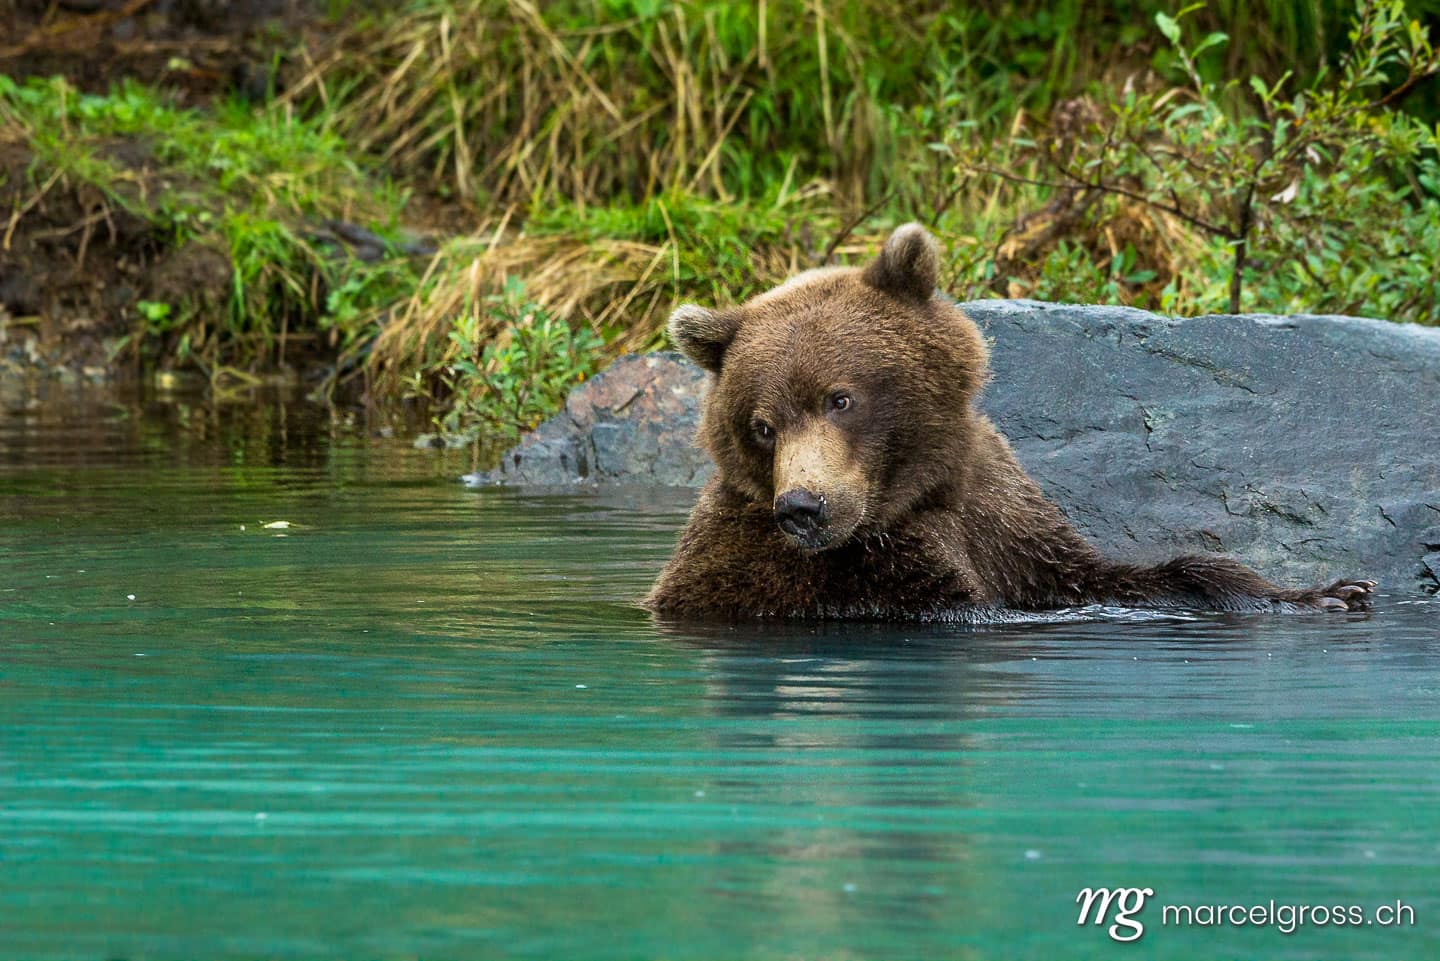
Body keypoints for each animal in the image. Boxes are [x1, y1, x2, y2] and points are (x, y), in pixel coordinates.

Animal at [643, 223, 1376, 621]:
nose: (802, 507)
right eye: (762, 425)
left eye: (839, 398)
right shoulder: (824, 575)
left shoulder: (1005, 516)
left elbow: (1114, 574)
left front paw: (1329, 591)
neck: (918, 492)